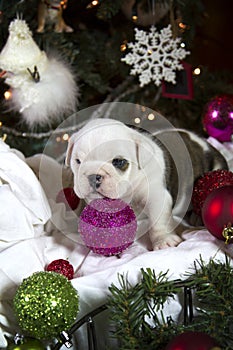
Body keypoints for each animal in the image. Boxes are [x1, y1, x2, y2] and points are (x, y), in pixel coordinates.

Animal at [65, 119, 228, 250]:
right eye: (78, 161)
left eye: (119, 162)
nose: (93, 176)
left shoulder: (157, 196)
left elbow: (158, 221)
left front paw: (163, 241)